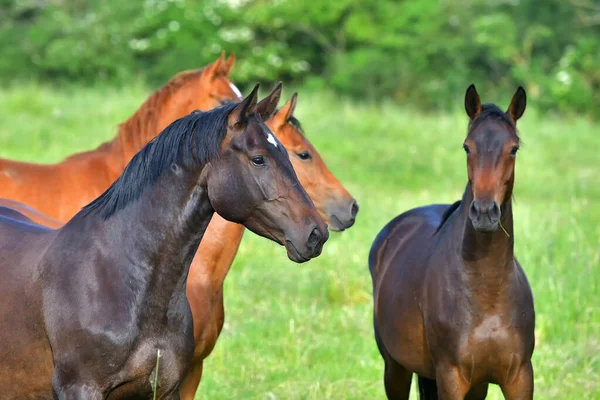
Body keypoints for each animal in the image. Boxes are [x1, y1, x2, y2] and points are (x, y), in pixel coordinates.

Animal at [370, 86, 536, 398]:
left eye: (514, 148)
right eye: (467, 147)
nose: (484, 212)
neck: (488, 294)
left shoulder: (519, 378)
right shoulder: (451, 377)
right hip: (395, 369)